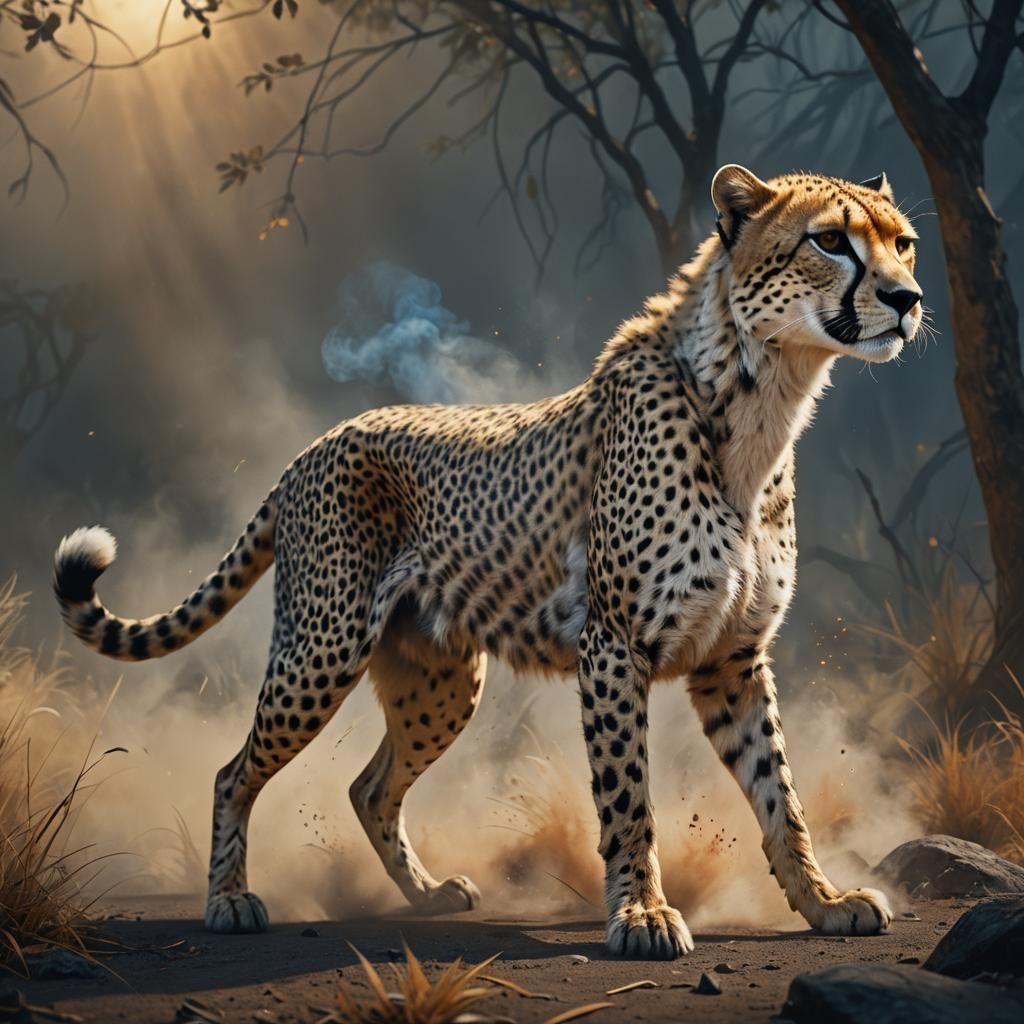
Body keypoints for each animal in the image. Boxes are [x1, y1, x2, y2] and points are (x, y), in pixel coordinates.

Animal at [53, 164, 922, 959]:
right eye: (831, 240)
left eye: (903, 243)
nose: (909, 299)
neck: (762, 399)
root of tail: (319, 442)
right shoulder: (614, 647)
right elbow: (629, 800)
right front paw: (641, 915)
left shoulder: (732, 659)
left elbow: (782, 798)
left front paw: (824, 901)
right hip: (321, 650)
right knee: (233, 772)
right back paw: (229, 901)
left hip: (438, 681)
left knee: (369, 787)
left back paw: (427, 894)